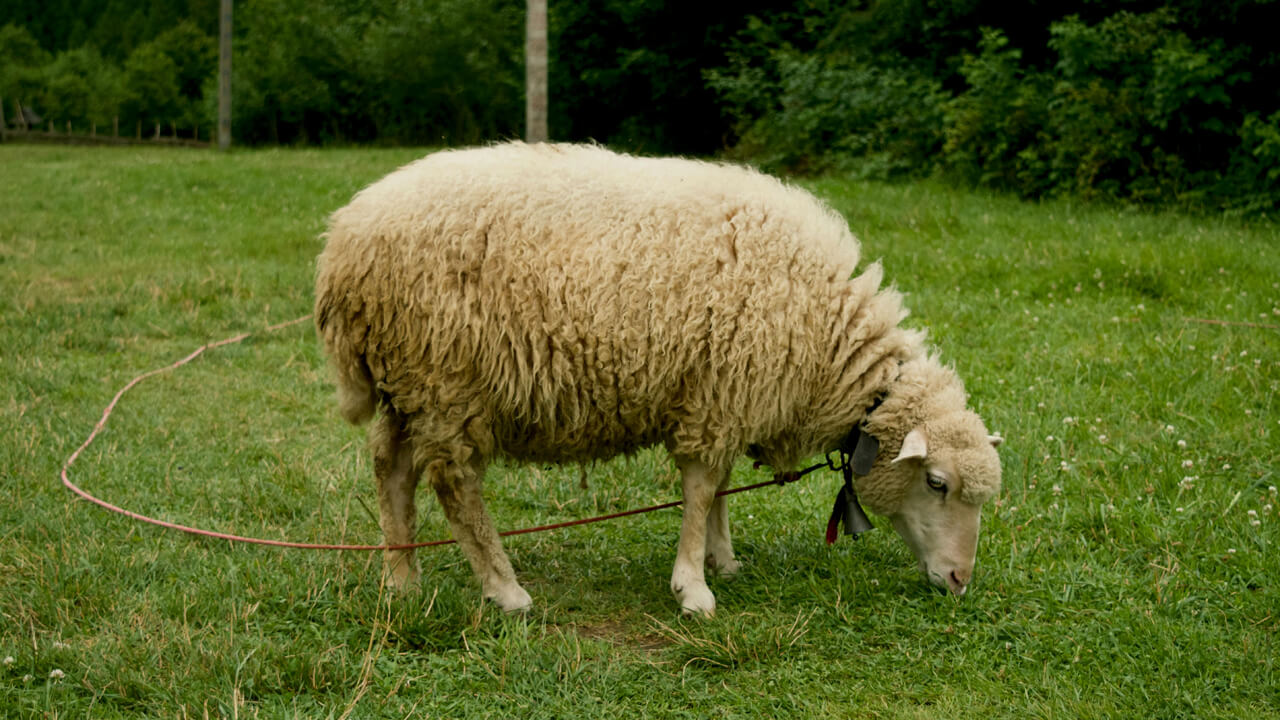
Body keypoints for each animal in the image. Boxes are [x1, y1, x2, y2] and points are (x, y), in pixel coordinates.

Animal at [314, 142, 1003, 614]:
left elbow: (719, 487)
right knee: (455, 485)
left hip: (411, 386)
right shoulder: (719, 395)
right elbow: (700, 490)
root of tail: (342, 243)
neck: (827, 339)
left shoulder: (724, 394)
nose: (961, 581)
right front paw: (693, 587)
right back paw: (505, 590)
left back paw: (402, 582)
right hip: (446, 380)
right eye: (936, 483)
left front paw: (722, 560)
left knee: (391, 469)